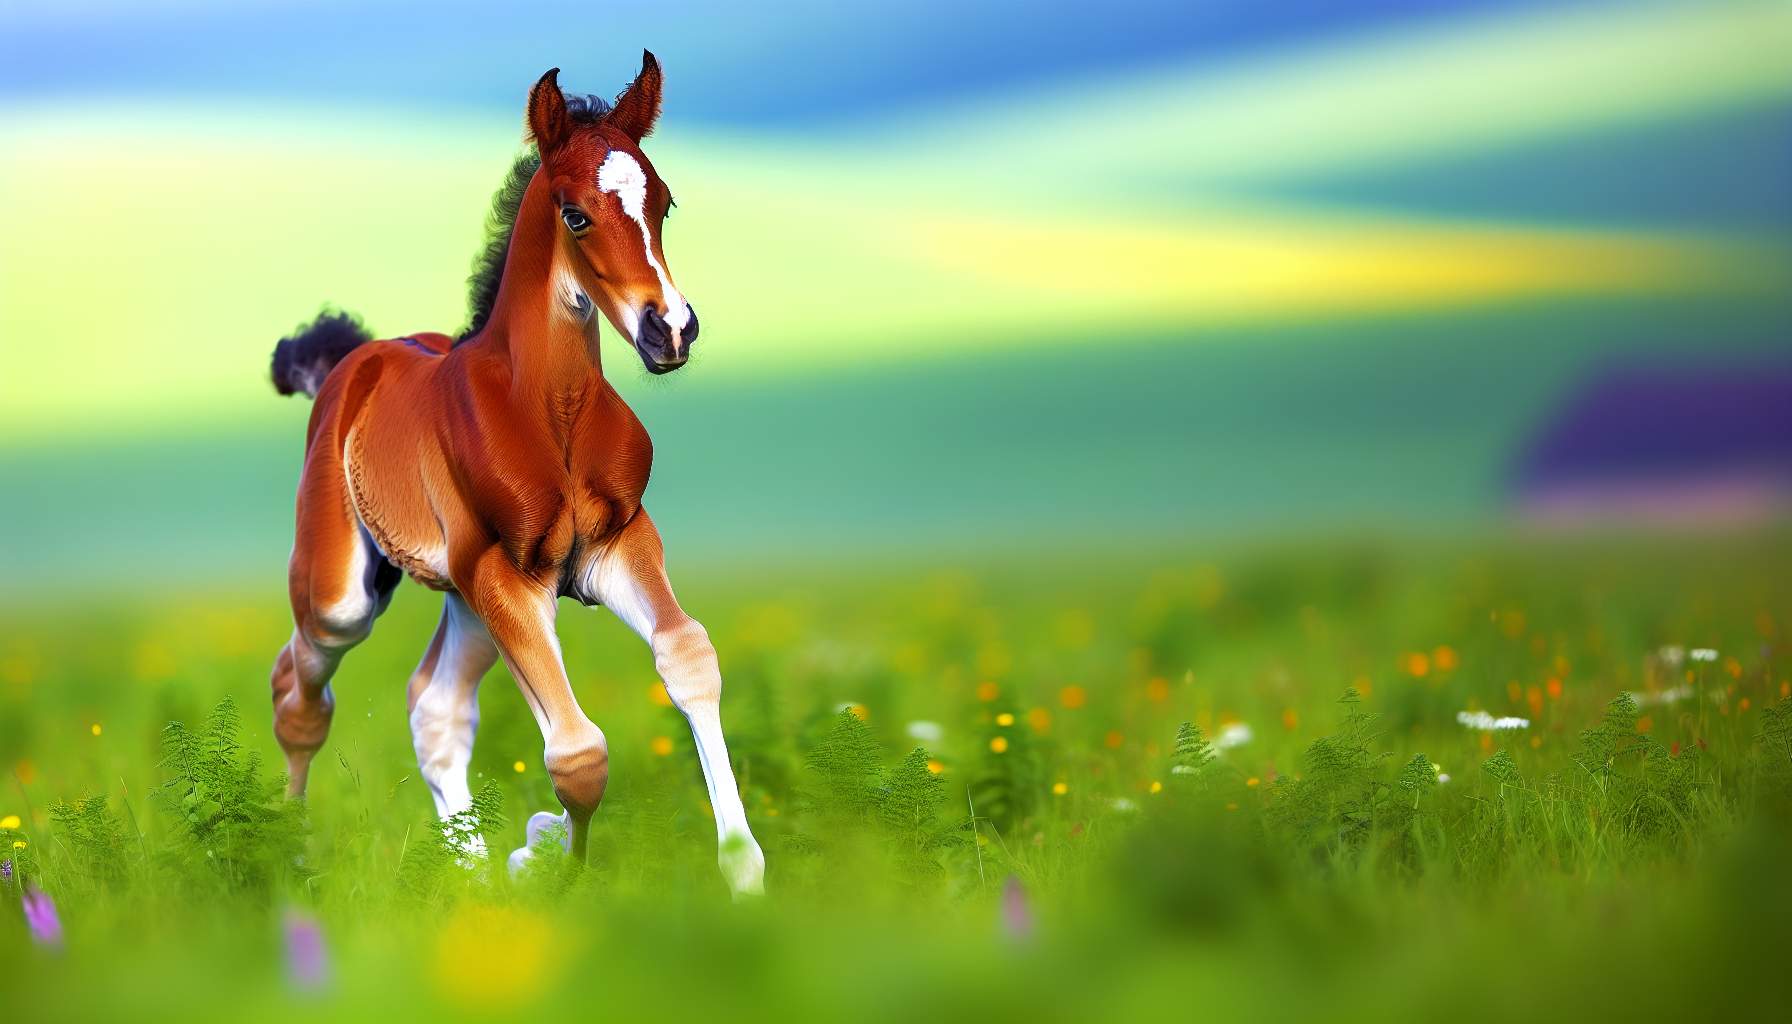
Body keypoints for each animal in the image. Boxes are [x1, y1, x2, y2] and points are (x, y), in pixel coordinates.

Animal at [266, 53, 764, 897]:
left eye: (663, 201)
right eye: (574, 214)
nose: (671, 330)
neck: (549, 414)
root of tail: (351, 363)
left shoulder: (617, 543)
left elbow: (689, 657)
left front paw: (742, 869)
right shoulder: (508, 575)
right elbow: (579, 752)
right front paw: (550, 860)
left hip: (465, 595)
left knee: (433, 707)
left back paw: (472, 879)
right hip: (350, 593)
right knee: (298, 690)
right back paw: (290, 862)